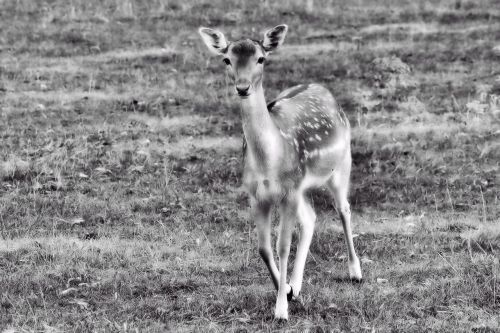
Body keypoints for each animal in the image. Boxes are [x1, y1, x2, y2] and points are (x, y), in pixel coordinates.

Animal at [197, 23, 362, 320]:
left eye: (261, 58)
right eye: (227, 59)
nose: (242, 87)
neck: (268, 163)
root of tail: (322, 88)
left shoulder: (289, 192)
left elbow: (283, 246)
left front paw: (281, 310)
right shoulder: (257, 195)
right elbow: (264, 248)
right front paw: (285, 290)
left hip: (341, 164)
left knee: (343, 208)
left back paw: (356, 272)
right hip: (302, 187)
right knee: (311, 217)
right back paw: (296, 285)